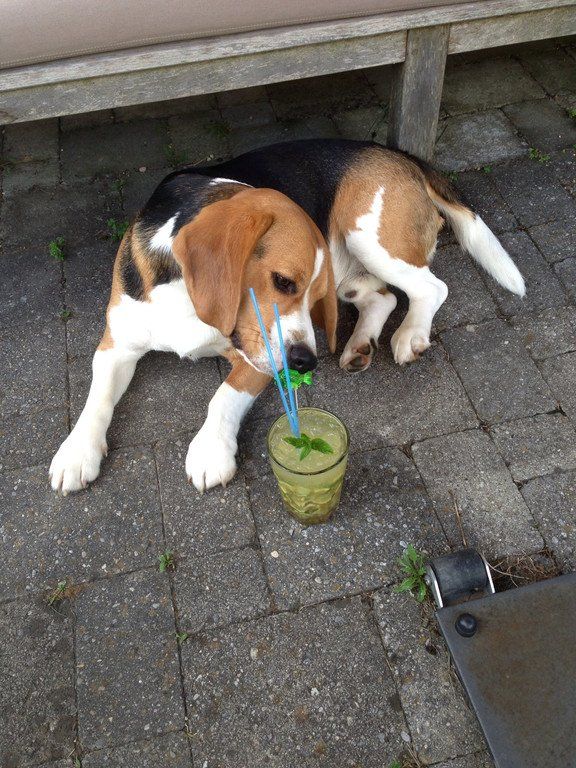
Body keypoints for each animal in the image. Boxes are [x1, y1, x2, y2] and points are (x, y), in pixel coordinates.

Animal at [50, 138, 524, 495]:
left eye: (307, 293)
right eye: (282, 282)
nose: (305, 363)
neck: (184, 294)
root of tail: (397, 154)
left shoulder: (257, 357)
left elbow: (223, 396)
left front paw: (210, 451)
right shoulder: (116, 344)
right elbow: (97, 398)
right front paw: (76, 452)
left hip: (364, 240)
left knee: (430, 288)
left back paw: (410, 335)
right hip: (349, 275)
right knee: (384, 299)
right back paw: (359, 346)